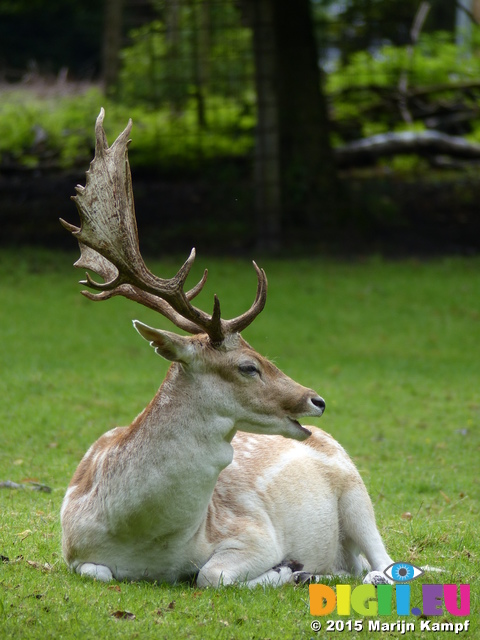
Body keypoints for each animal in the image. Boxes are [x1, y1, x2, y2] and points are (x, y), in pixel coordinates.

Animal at [61, 109, 394, 584]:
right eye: (248, 366)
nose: (316, 400)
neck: (148, 542)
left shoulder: (253, 530)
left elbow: (209, 575)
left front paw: (286, 568)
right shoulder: (72, 551)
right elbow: (101, 572)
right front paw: (293, 571)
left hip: (357, 492)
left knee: (384, 564)